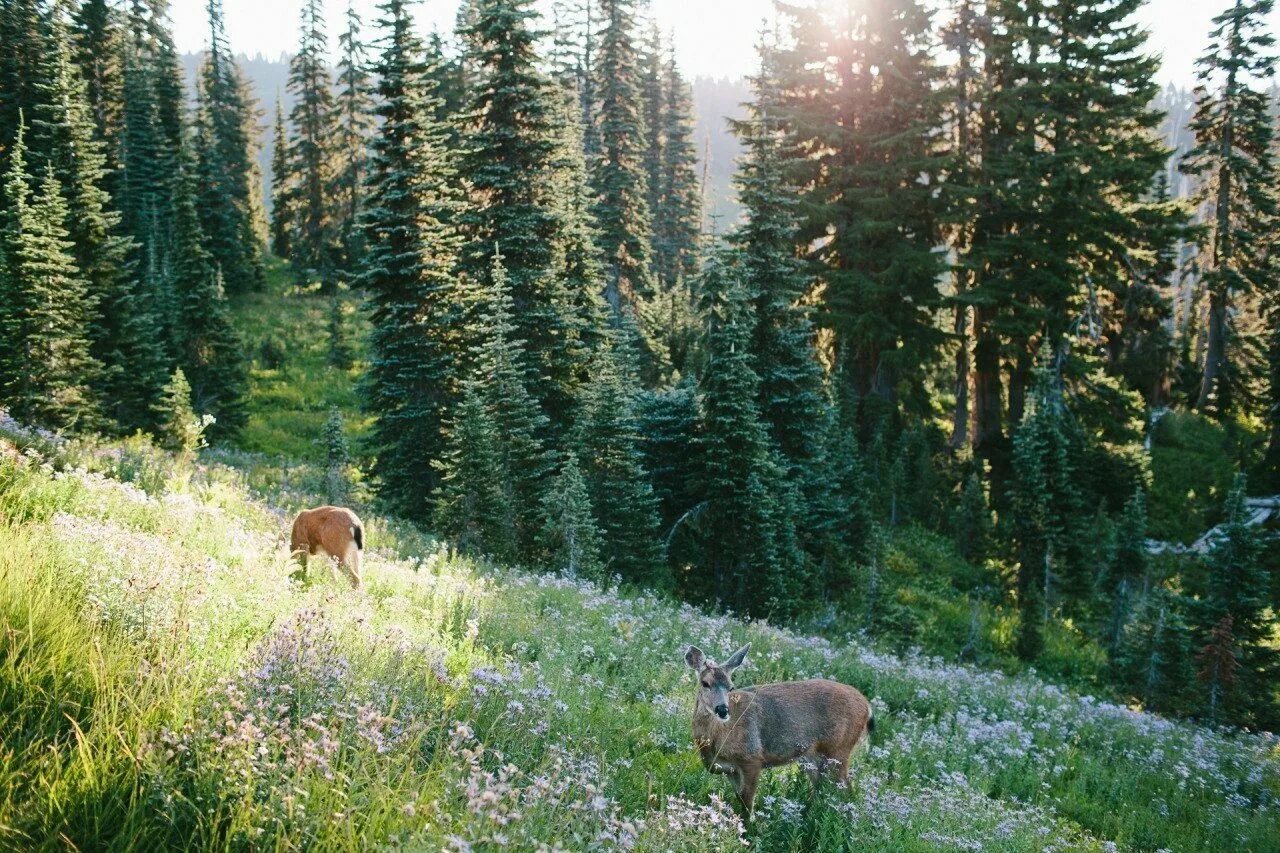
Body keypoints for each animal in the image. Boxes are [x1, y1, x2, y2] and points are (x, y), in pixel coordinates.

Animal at [686, 640, 875, 814]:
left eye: (731, 687)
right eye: (705, 683)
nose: (723, 710)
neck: (716, 740)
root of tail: (867, 706)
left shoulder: (752, 758)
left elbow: (747, 803)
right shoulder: (729, 770)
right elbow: (739, 798)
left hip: (839, 750)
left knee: (847, 789)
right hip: (814, 758)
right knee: (821, 788)